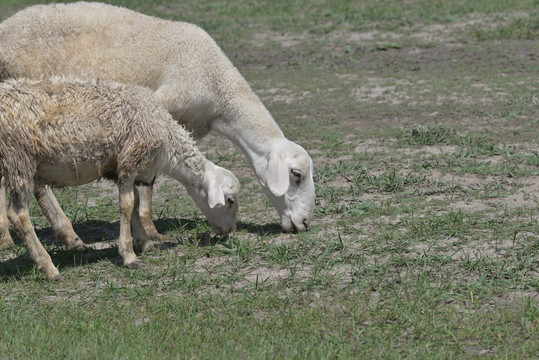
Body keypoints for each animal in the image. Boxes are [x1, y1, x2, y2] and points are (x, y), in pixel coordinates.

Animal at [0, 1, 316, 248]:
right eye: (296, 174)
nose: (305, 223)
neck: (219, 90)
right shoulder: (158, 110)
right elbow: (147, 181)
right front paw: (149, 229)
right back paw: (56, 235)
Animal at [0, 78, 240, 282]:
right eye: (230, 201)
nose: (229, 232)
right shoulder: (130, 160)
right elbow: (127, 204)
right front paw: (129, 255)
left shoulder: (124, 169)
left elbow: (135, 203)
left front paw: (144, 243)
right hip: (19, 159)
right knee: (18, 214)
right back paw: (48, 267)